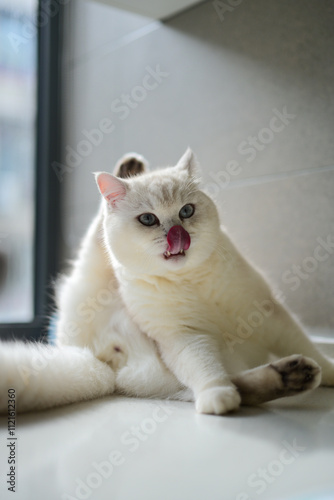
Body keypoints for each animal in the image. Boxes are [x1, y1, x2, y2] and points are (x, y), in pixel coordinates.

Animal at [0, 149, 334, 414]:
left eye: (187, 211)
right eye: (148, 219)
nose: (178, 235)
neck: (189, 280)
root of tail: (98, 361)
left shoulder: (269, 314)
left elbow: (306, 344)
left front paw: (329, 371)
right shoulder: (183, 337)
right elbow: (206, 371)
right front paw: (217, 398)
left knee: (243, 383)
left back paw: (296, 375)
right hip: (97, 280)